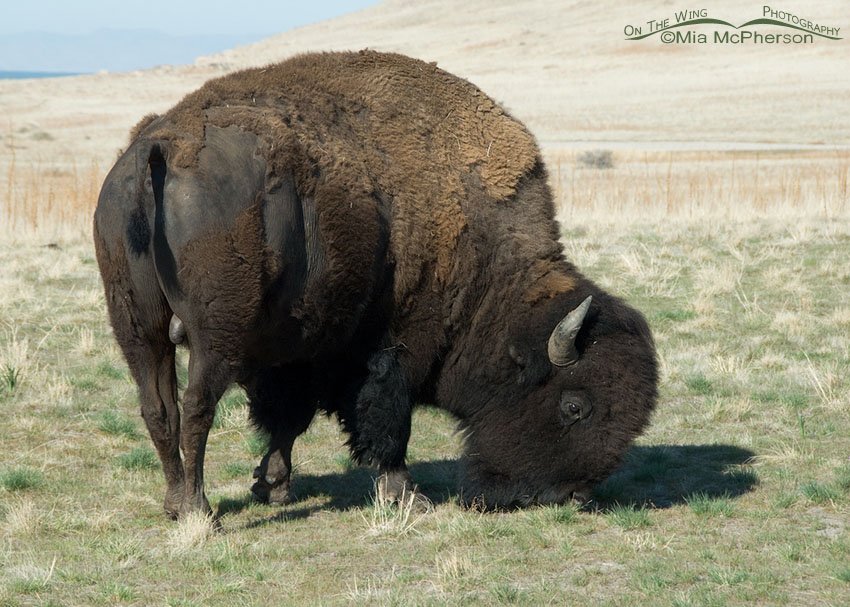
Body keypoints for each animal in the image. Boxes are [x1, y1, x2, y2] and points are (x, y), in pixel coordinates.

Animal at [93, 50, 657, 520]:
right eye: (574, 406)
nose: (570, 498)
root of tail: (158, 150)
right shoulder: (392, 348)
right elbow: (386, 423)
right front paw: (405, 495)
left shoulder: (299, 352)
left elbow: (286, 419)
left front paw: (272, 485)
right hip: (216, 336)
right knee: (196, 407)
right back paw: (198, 509)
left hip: (137, 328)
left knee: (159, 407)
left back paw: (175, 502)